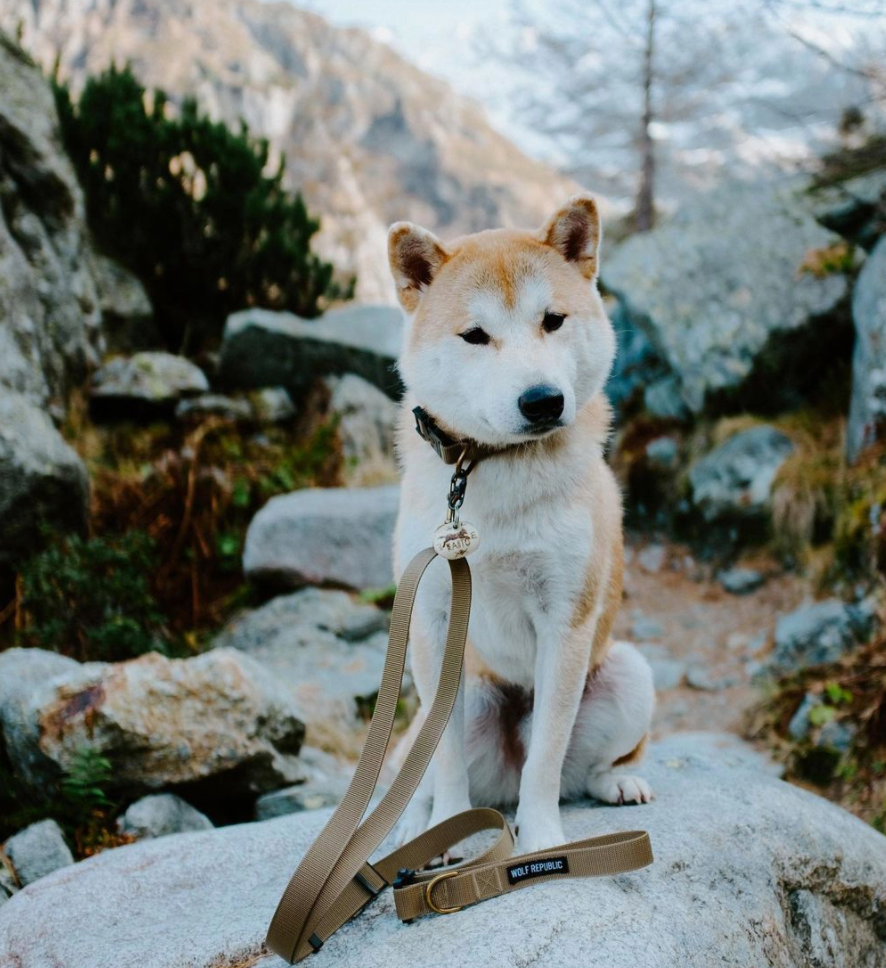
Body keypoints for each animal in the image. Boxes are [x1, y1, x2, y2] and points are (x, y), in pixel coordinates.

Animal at [392, 197, 656, 856]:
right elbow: (445, 763)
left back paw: (616, 783)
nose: (542, 400)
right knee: (415, 776)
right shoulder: (432, 623)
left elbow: (546, 763)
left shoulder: (565, 622)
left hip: (628, 673)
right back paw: (414, 827)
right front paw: (449, 832)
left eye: (553, 320)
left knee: (576, 770)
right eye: (475, 335)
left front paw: (541, 842)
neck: (490, 465)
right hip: (461, 699)